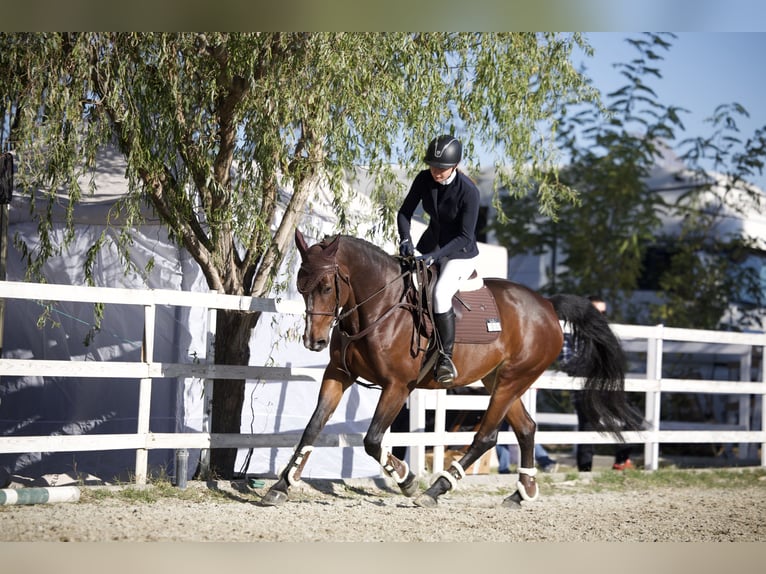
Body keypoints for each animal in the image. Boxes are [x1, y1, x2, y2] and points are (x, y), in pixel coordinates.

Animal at [260, 230, 640, 508]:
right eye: (300, 286)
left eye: (326, 286)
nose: (314, 341)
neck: (379, 306)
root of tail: (546, 304)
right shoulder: (338, 375)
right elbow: (312, 428)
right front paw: (280, 486)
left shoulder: (397, 386)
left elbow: (372, 440)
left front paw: (407, 479)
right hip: (498, 380)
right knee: (527, 428)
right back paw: (522, 492)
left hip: (511, 380)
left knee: (486, 436)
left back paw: (435, 489)